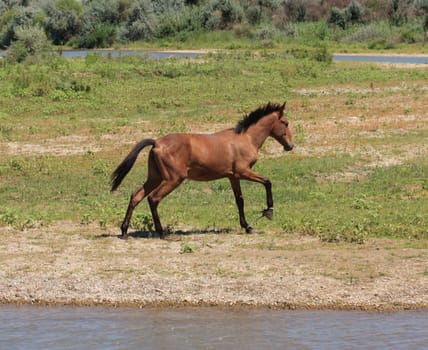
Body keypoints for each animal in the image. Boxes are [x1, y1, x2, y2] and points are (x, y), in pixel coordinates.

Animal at [111, 101, 294, 238]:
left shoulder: (233, 177)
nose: (290, 146)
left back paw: (124, 231)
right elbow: (267, 182)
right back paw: (161, 232)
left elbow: (239, 200)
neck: (246, 139)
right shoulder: (243, 172)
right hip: (173, 179)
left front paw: (247, 226)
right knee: (153, 198)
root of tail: (157, 142)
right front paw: (269, 211)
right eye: (285, 123)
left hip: (155, 177)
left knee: (136, 196)